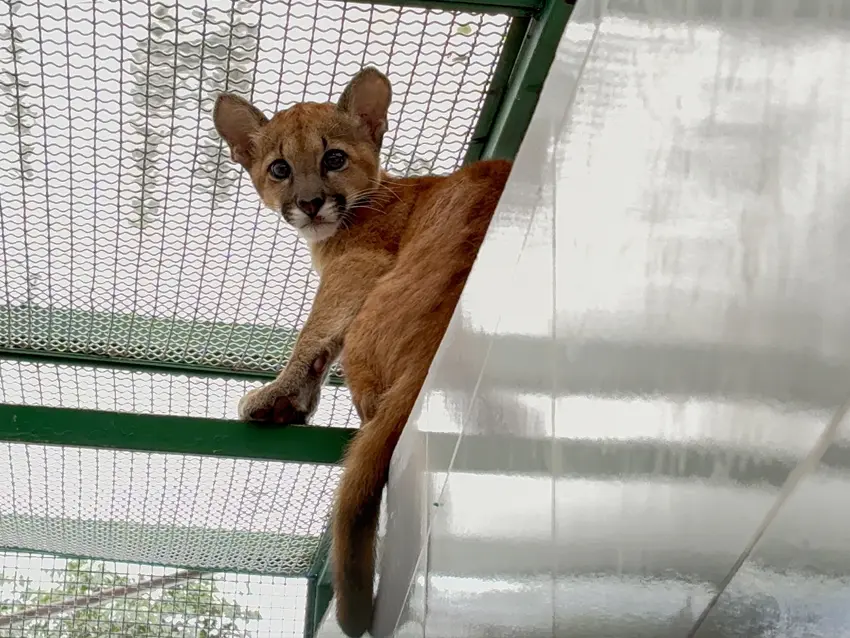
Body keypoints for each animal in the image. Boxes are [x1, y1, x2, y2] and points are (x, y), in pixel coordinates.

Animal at [214, 66, 511, 637]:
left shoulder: (356, 266)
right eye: (280, 168)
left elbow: (315, 331)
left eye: (333, 158)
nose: (310, 203)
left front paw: (277, 397)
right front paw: (293, 402)